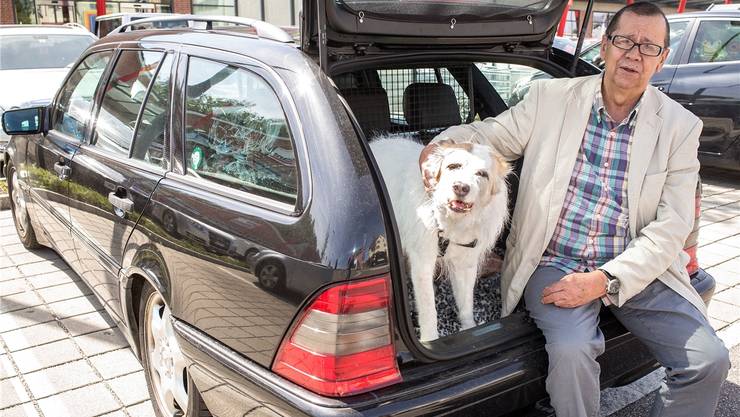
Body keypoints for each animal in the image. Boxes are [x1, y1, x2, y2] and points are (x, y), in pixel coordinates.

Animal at [370, 136, 508, 342]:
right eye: (453, 166)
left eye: (482, 174)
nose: (461, 188)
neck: (451, 222)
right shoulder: (422, 263)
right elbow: (429, 311)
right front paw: (430, 340)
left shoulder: (465, 264)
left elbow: (466, 303)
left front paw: (469, 329)